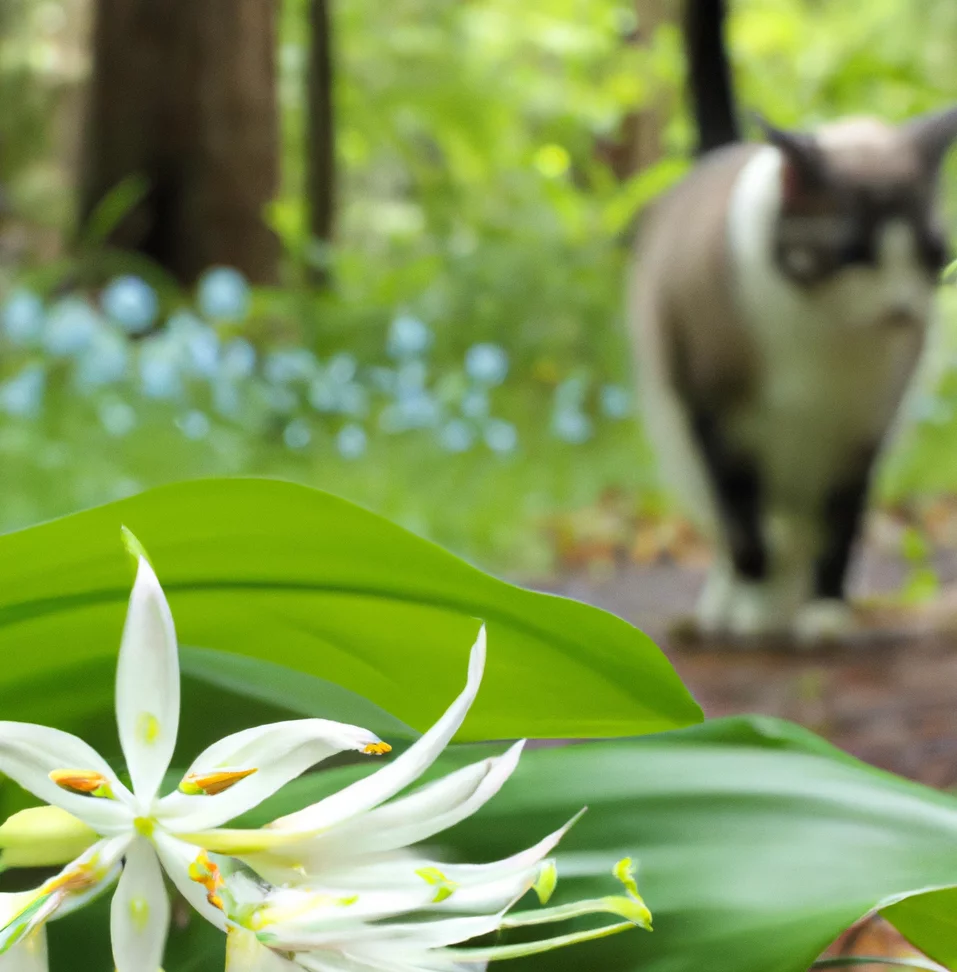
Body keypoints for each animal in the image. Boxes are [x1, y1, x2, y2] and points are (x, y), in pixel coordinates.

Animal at [628, 0, 956, 636]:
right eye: (855, 254)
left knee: (800, 529)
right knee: (739, 528)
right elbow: (744, 526)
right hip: (682, 435)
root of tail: (718, 154)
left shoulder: (862, 433)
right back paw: (732, 607)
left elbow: (840, 527)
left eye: (932, 255)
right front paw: (753, 611)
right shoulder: (715, 419)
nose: (903, 309)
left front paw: (825, 612)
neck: (825, 335)